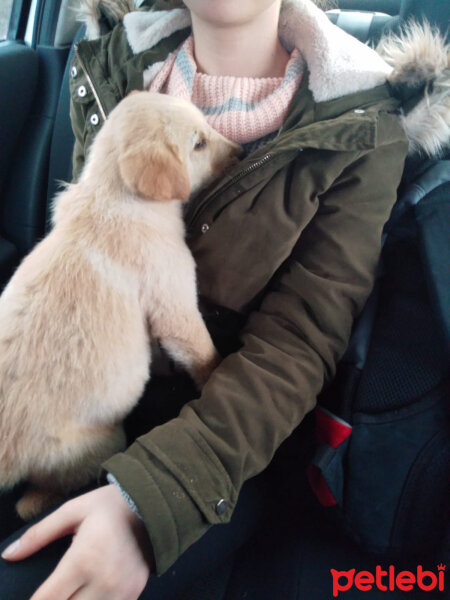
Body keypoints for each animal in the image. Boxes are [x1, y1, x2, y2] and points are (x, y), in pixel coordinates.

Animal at [0, 90, 239, 520]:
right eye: (198, 143)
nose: (243, 151)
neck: (112, 194)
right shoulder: (176, 305)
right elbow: (201, 352)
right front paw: (214, 376)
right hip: (101, 441)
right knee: (33, 502)